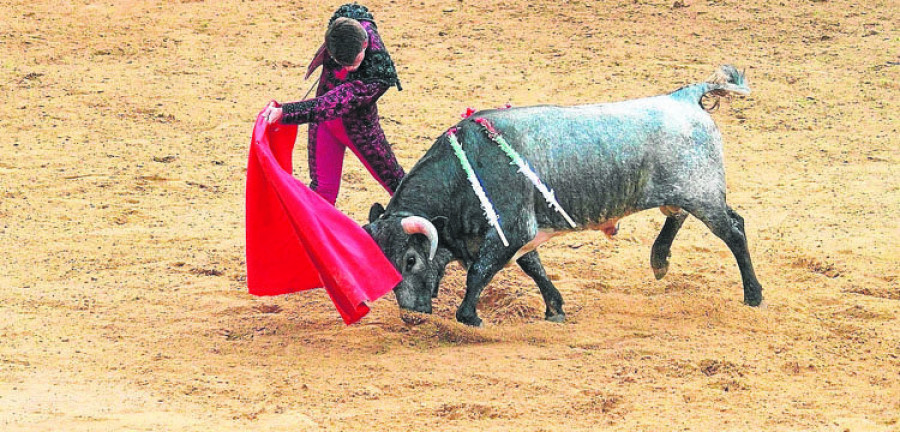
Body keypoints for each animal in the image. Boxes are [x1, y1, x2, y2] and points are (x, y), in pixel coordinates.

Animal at [362, 66, 764, 326]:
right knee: (679, 215)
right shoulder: (521, 233)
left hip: (703, 194)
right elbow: (533, 267)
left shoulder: (511, 230)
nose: (410, 316)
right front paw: (555, 309)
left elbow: (479, 273)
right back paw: (659, 260)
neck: (466, 169)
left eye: (411, 259)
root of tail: (683, 97)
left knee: (734, 230)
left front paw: (469, 316)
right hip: (684, 192)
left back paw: (753, 295)